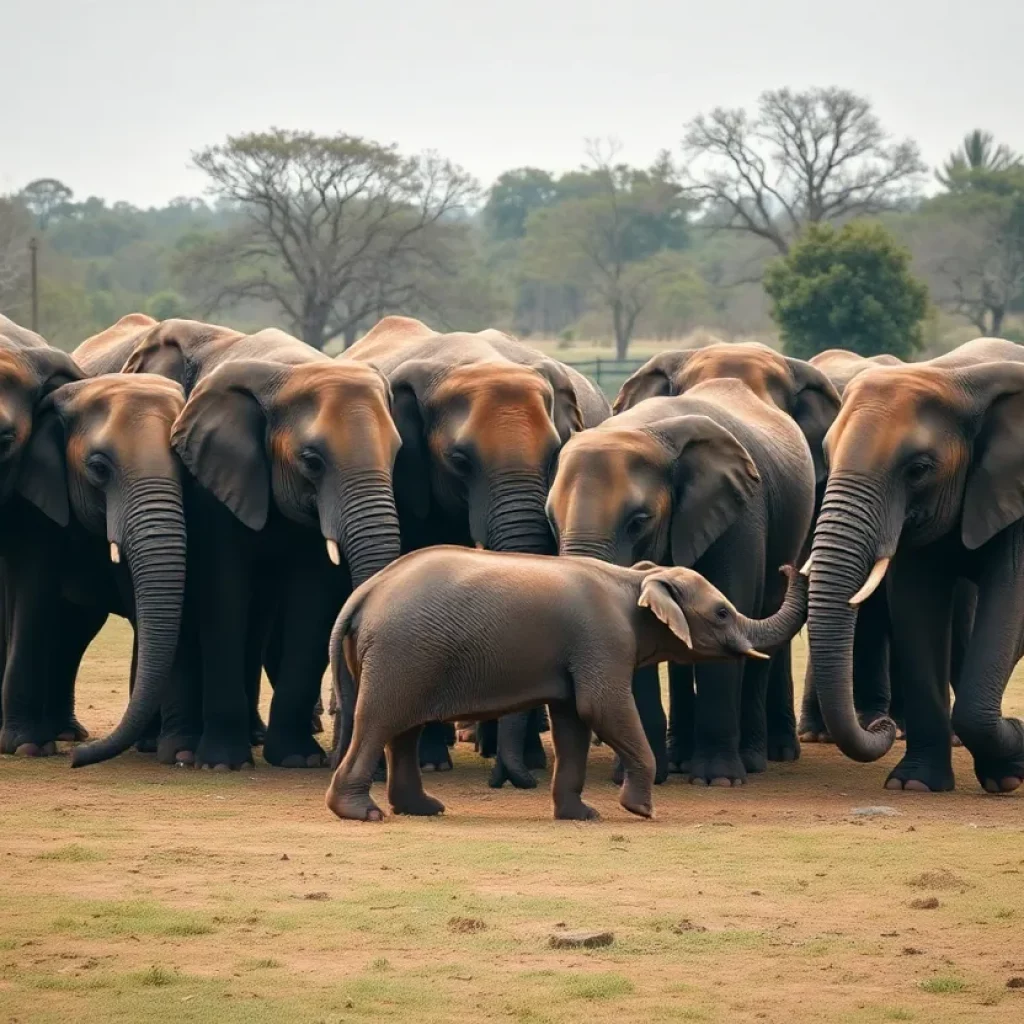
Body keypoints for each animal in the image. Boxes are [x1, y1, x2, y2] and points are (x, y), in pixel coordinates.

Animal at [0, 374, 187, 764]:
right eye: (99, 468)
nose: (77, 758)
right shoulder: (34, 501)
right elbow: (33, 598)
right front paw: (28, 746)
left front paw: (162, 747)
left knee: (77, 629)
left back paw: (69, 732)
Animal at [325, 546, 808, 822]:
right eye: (723, 613)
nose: (788, 566)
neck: (636, 579)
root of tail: (362, 595)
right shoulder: (603, 640)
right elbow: (603, 708)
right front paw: (641, 810)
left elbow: (575, 720)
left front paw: (583, 815)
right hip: (402, 653)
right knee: (379, 722)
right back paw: (364, 814)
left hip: (408, 656)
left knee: (402, 731)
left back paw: (423, 810)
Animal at [548, 379, 816, 786]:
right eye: (551, 518)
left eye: (638, 521)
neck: (646, 430)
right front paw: (636, 775)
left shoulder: (739, 512)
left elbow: (733, 602)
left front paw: (717, 779)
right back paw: (677, 761)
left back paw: (752, 760)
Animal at [805, 336, 1024, 793]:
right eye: (826, 457)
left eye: (920, 469)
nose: (881, 725)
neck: (955, 377)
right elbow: (917, 610)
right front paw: (915, 785)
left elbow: (1011, 605)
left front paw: (1009, 770)